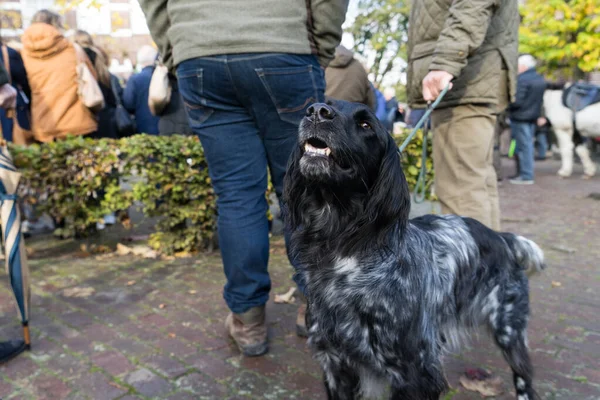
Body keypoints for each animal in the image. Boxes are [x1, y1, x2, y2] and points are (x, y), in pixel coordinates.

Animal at [284, 101, 548, 398]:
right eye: (324, 103)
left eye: (366, 125)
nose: (317, 111)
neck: (341, 252)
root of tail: (503, 238)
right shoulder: (335, 364)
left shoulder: (414, 372)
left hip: (509, 331)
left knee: (524, 379)